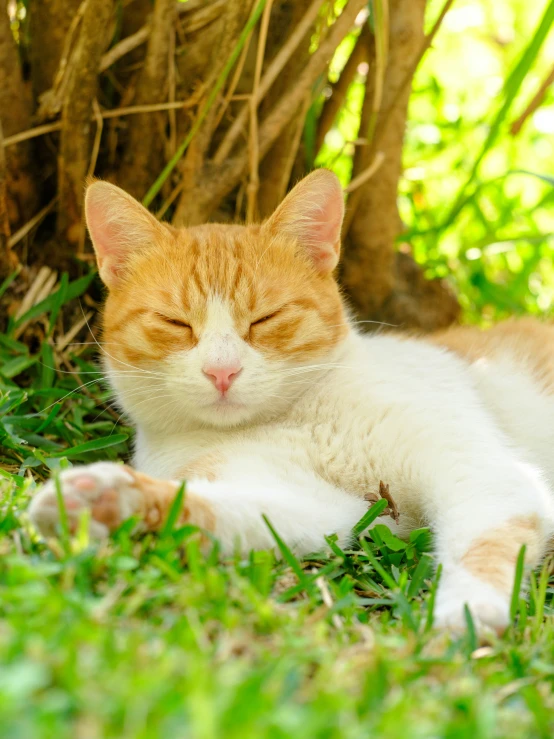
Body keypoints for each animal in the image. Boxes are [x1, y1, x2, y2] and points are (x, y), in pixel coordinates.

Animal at [29, 169, 552, 636]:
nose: (222, 371)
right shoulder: (313, 505)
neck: (300, 418)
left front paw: (468, 609)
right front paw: (105, 503)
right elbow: (216, 509)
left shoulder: (478, 467)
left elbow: (483, 539)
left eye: (266, 318)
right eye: (175, 322)